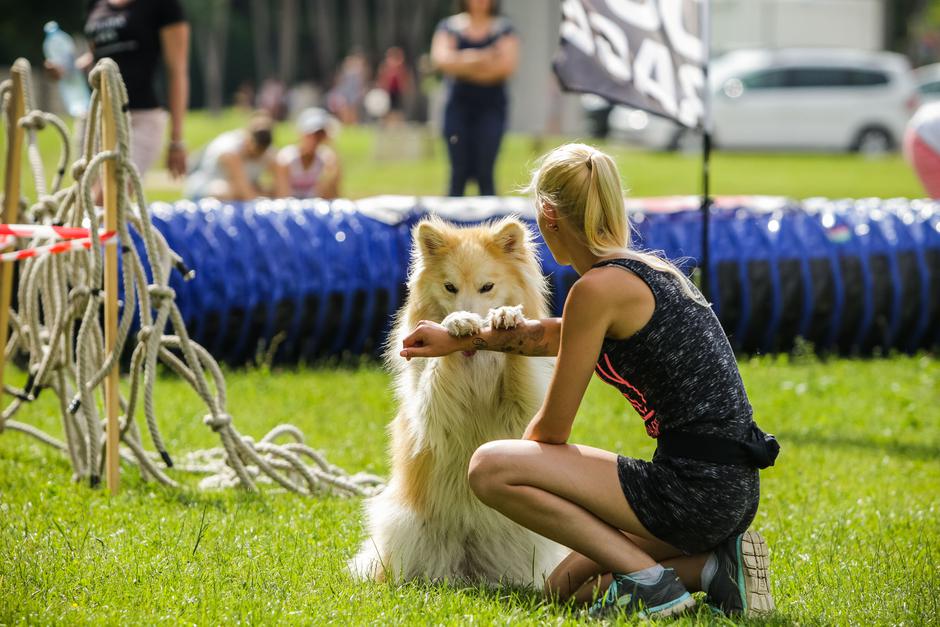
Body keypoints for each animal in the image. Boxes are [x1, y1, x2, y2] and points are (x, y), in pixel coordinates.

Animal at [348, 217, 560, 588]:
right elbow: (438, 365)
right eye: (450, 288)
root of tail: (469, 568)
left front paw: (508, 318)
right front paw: (457, 323)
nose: (469, 317)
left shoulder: (521, 409)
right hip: (405, 524)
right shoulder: (433, 410)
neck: (474, 362)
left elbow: (517, 366)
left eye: (487, 287)